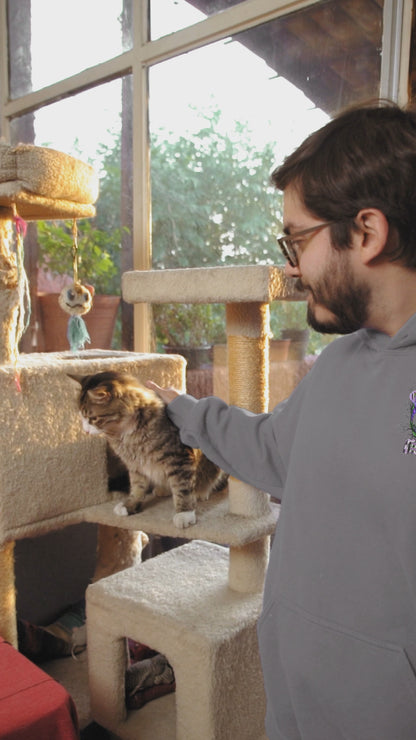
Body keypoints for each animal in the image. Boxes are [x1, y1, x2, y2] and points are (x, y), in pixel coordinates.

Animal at [71, 370, 228, 528]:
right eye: (81, 416)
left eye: (93, 418)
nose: (85, 430)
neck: (127, 437)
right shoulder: (135, 465)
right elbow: (137, 487)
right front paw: (130, 505)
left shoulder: (179, 459)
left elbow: (182, 489)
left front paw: (185, 513)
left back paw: (201, 492)